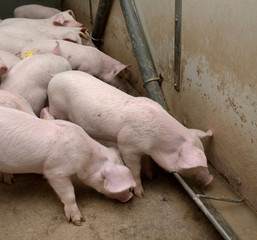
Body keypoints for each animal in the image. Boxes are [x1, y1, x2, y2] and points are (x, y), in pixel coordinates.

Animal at [0, 106, 135, 225]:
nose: (130, 197)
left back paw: (9, 181)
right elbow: (69, 194)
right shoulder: (55, 171)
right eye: (105, 180)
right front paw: (78, 221)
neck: (87, 157)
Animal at [45, 70, 213, 198]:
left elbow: (146, 161)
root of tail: (55, 76)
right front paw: (140, 194)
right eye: (199, 164)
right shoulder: (127, 145)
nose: (210, 179)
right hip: (58, 107)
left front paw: (151, 176)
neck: (157, 142)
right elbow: (134, 170)